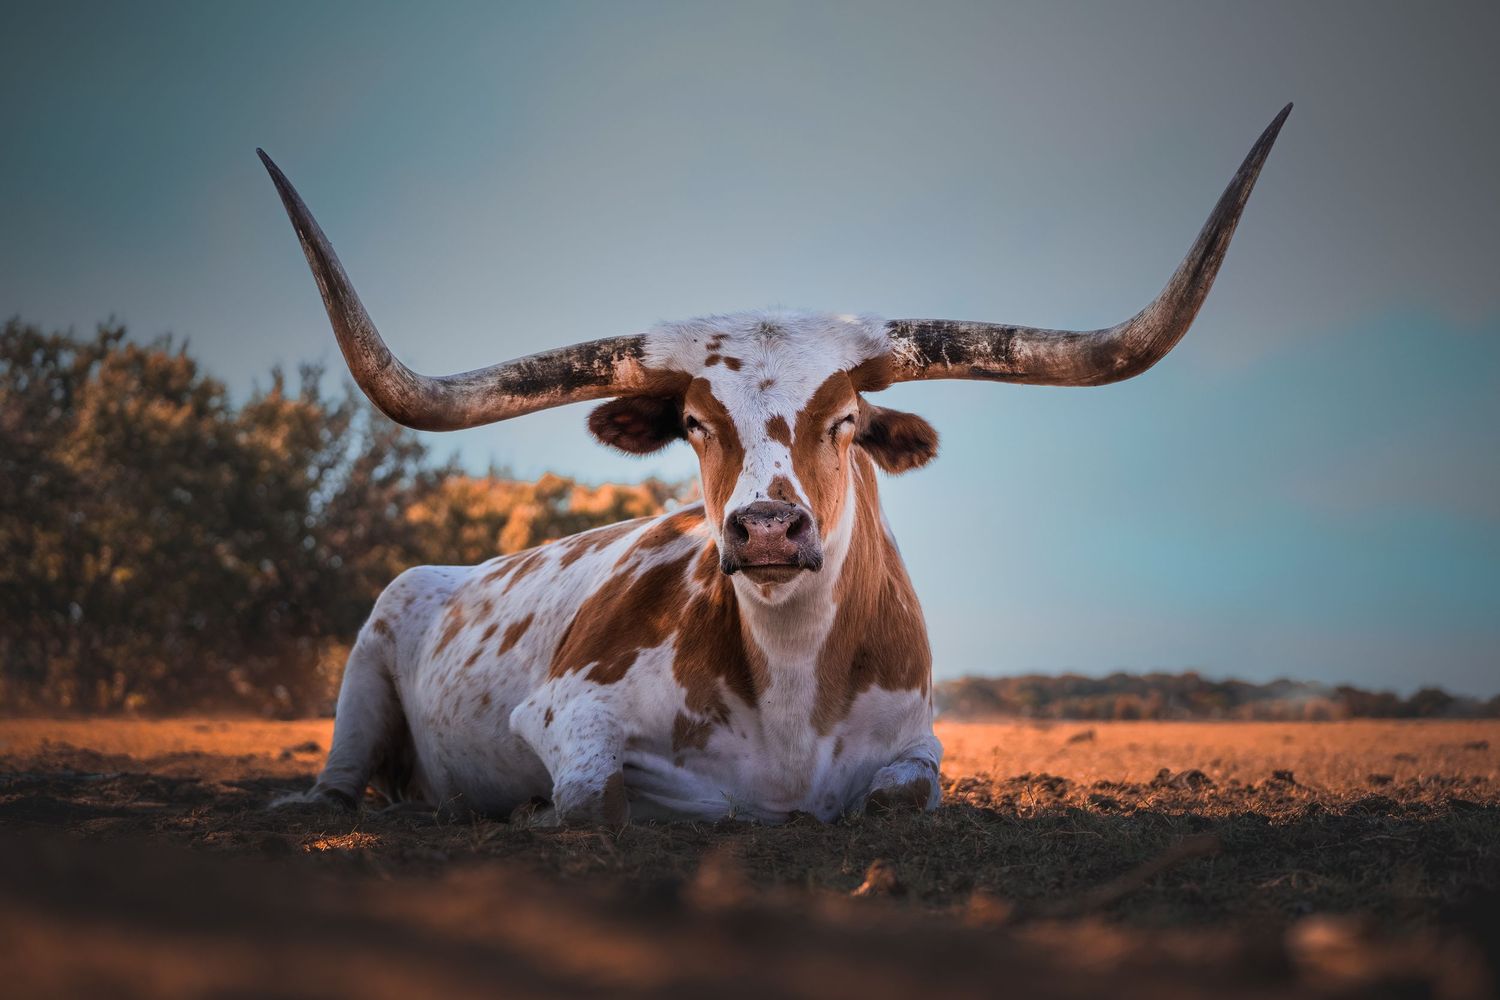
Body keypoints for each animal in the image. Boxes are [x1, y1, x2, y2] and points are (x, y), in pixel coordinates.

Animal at [259, 105, 1290, 825]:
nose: (764, 529)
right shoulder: (557, 712)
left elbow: (901, 793)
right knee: (342, 777)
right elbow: (599, 799)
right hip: (371, 645)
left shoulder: (919, 746)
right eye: (693, 423)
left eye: (845, 420)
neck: (793, 678)